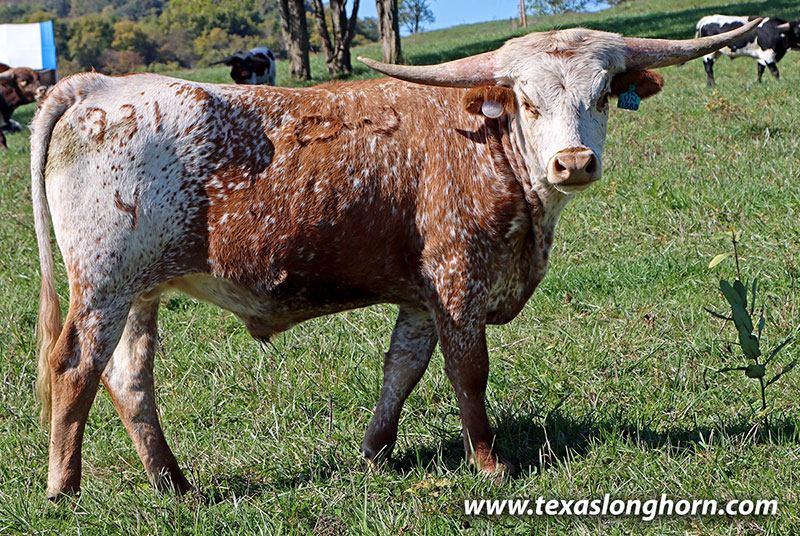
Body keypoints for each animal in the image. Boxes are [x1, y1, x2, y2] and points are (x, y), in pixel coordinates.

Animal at [30, 21, 759, 500]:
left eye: (605, 94)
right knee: (75, 367)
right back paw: (63, 486)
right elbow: (469, 372)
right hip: (104, 282)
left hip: (141, 291)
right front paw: (489, 463)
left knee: (129, 379)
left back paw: (172, 483)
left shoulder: (420, 296)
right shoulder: (459, 282)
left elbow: (402, 371)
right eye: (527, 101)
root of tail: (97, 86)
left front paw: (374, 454)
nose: (574, 162)